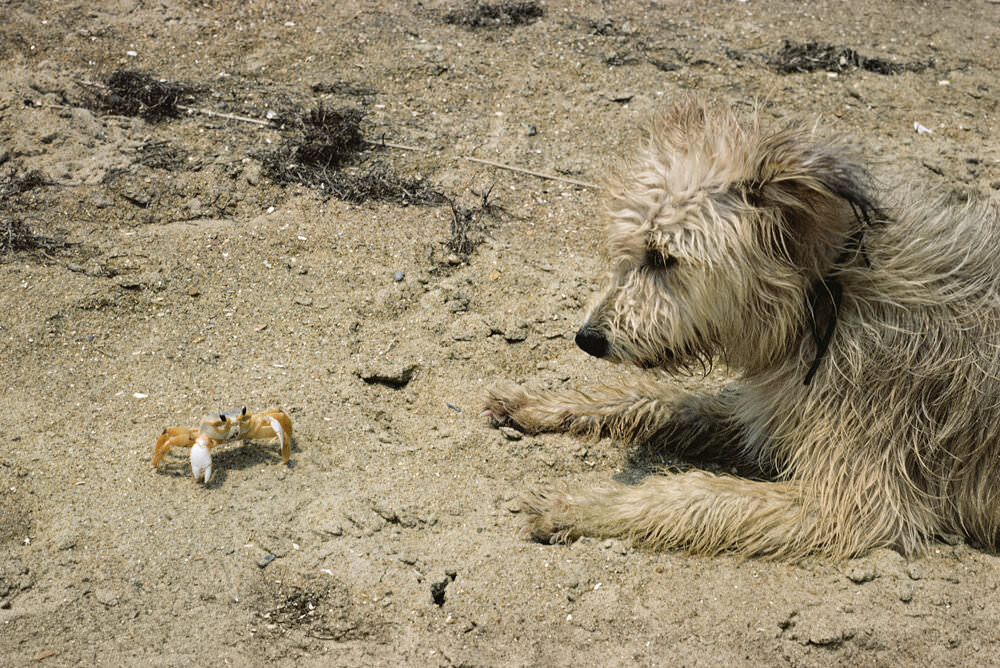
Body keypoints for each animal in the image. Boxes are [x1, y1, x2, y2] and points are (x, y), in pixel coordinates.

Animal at [482, 99, 1000, 560]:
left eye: (663, 257)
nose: (587, 338)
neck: (830, 295)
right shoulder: (764, 409)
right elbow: (656, 398)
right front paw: (538, 402)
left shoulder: (851, 500)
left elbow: (691, 492)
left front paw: (576, 505)